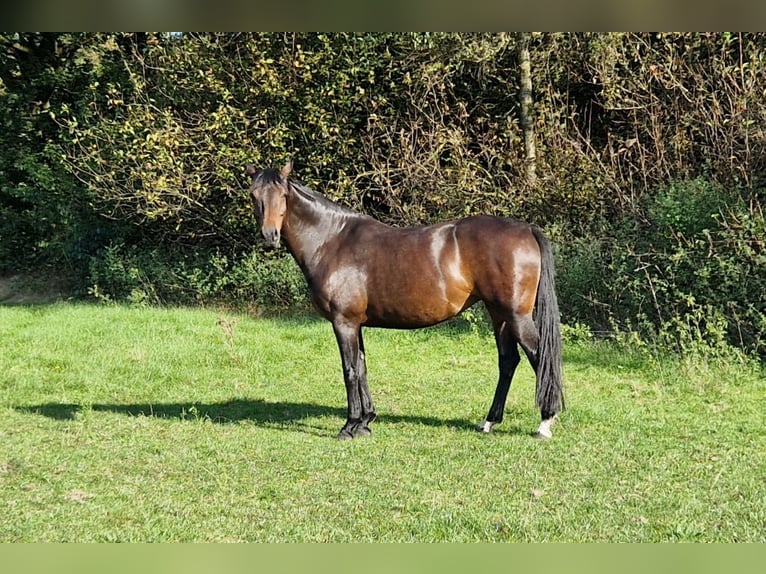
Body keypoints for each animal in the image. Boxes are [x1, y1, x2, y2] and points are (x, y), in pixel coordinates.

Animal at [246, 161, 564, 440]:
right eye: (254, 195)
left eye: (283, 196)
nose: (269, 236)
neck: (332, 241)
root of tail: (526, 229)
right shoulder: (357, 324)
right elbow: (362, 367)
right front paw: (366, 422)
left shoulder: (343, 323)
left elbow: (350, 370)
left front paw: (349, 426)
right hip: (498, 314)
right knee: (508, 360)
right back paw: (488, 422)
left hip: (516, 315)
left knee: (539, 357)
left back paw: (545, 422)